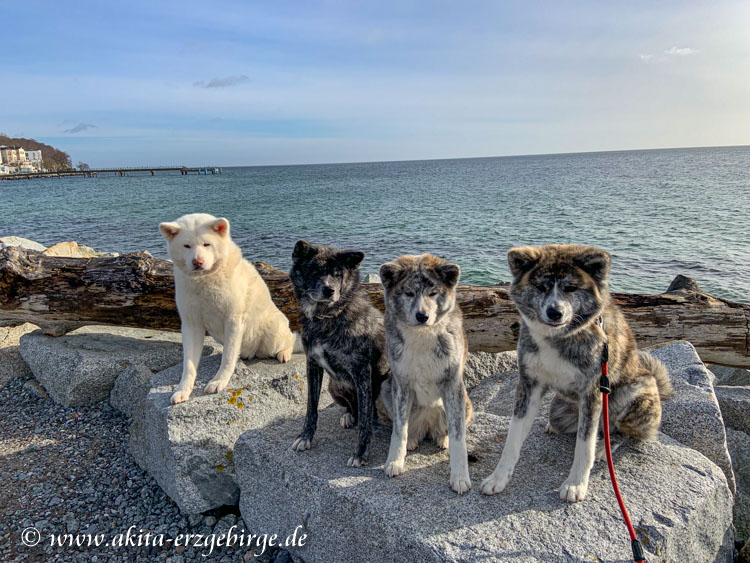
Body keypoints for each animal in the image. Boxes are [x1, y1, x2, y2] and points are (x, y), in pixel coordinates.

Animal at [160, 214, 298, 404]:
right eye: (186, 246)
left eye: (207, 244)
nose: (197, 262)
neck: (205, 281)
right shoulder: (191, 324)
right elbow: (188, 365)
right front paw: (183, 390)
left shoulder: (233, 319)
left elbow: (228, 357)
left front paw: (219, 381)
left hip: (273, 336)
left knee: (292, 338)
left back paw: (285, 353)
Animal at [290, 241, 390, 468]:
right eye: (315, 271)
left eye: (338, 274)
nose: (330, 290)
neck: (327, 317)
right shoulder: (312, 364)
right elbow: (311, 408)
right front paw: (305, 437)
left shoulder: (362, 372)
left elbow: (365, 421)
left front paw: (360, 453)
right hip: (334, 386)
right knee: (353, 408)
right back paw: (348, 416)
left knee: (367, 413)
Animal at [378, 254, 472, 494]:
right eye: (409, 293)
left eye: (433, 293)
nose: (422, 316)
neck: (423, 335)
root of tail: (428, 426)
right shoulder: (401, 384)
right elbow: (399, 429)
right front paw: (395, 461)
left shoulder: (453, 384)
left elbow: (459, 436)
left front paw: (459, 476)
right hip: (386, 388)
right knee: (405, 427)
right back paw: (412, 440)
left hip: (466, 402)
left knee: (448, 429)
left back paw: (442, 438)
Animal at [484, 245, 672, 504]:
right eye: (541, 287)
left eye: (571, 288)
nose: (554, 312)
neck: (559, 337)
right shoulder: (529, 385)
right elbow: (513, 437)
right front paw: (498, 477)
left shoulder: (592, 393)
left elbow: (584, 445)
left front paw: (576, 484)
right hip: (560, 409)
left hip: (636, 391)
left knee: (622, 431)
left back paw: (604, 447)